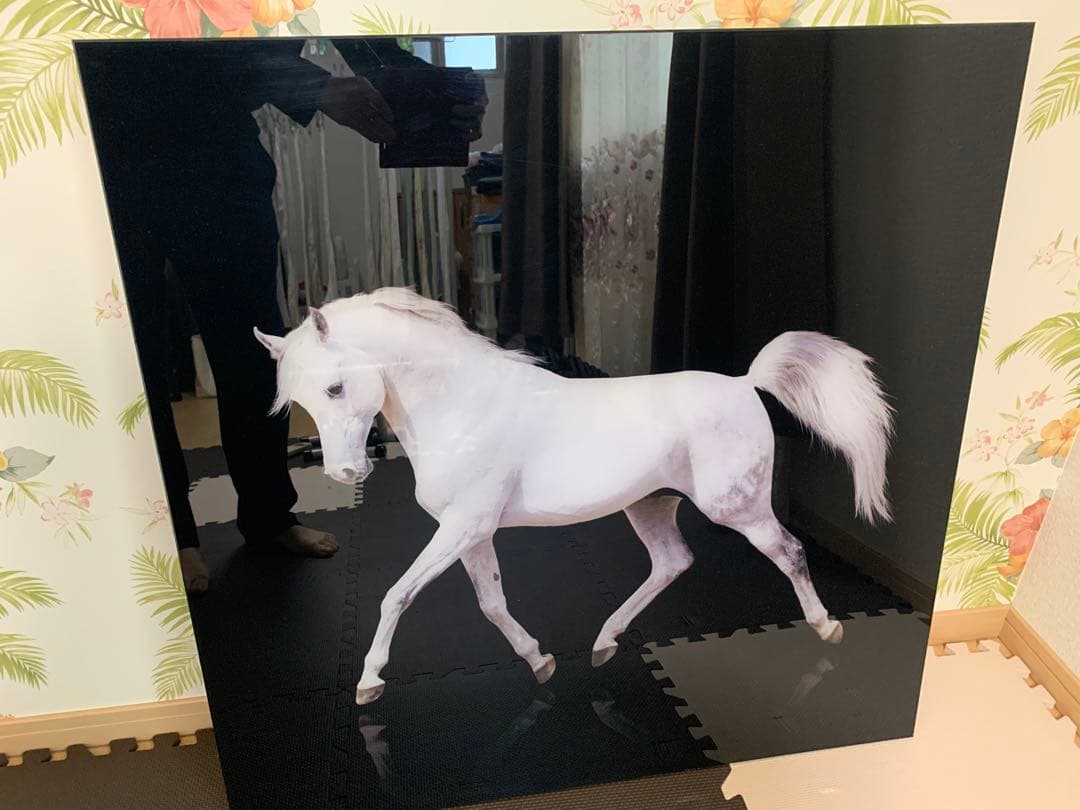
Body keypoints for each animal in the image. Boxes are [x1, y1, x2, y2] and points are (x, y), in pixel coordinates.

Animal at [255, 287, 894, 705]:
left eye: (335, 387)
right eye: (301, 400)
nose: (344, 473)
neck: (460, 406)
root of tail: (745, 384)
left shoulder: (463, 527)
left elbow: (397, 595)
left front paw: (368, 682)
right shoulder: (472, 533)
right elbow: (491, 602)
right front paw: (540, 662)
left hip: (737, 507)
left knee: (789, 551)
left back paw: (827, 628)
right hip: (650, 505)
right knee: (673, 562)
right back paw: (604, 643)